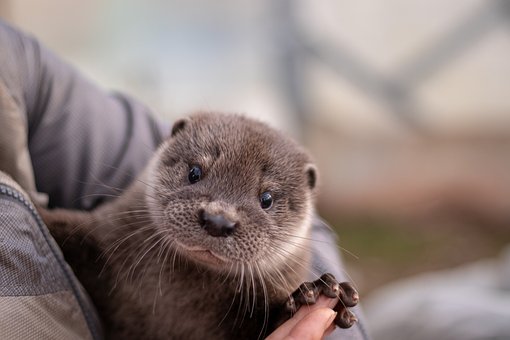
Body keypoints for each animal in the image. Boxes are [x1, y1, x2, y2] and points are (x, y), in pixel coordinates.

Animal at [38, 113, 358, 338]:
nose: (218, 220)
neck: (176, 299)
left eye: (266, 198)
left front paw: (312, 293)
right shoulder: (101, 236)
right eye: (194, 172)